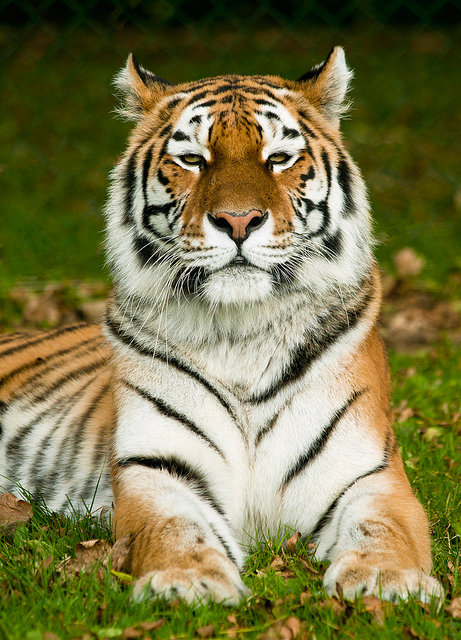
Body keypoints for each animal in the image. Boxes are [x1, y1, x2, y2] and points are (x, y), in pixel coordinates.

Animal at [0, 47, 444, 605]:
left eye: (278, 158)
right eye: (193, 160)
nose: (237, 220)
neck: (242, 333)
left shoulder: (367, 472)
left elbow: (384, 527)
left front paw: (388, 579)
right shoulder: (157, 466)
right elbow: (174, 526)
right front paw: (188, 580)